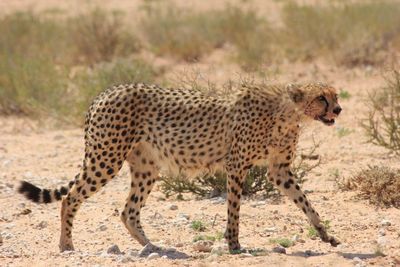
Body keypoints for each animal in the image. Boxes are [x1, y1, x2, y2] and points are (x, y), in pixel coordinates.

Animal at [18, 81, 342, 253]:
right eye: (321, 97)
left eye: (335, 95)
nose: (339, 109)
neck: (289, 113)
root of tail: (105, 92)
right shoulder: (236, 166)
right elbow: (234, 209)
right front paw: (234, 244)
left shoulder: (280, 171)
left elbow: (306, 203)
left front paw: (326, 235)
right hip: (106, 158)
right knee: (70, 197)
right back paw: (66, 245)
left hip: (146, 167)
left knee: (128, 211)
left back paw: (153, 247)